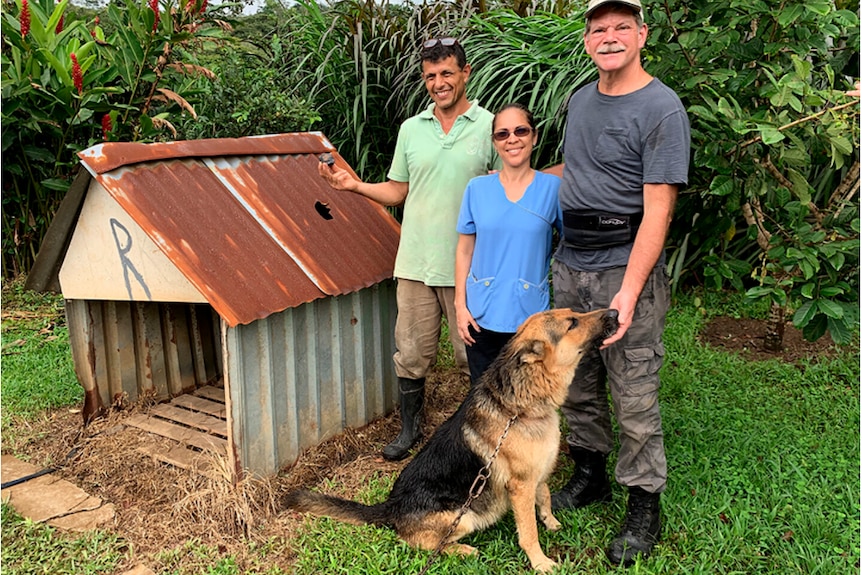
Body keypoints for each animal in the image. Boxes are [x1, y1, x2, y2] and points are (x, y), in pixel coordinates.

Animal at [286, 308, 616, 572]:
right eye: (573, 323)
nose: (613, 312)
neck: (519, 406)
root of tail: (390, 507)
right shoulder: (520, 486)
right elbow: (528, 532)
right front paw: (540, 562)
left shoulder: (538, 474)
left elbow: (544, 498)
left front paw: (551, 523)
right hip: (464, 516)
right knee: (423, 543)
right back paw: (463, 550)